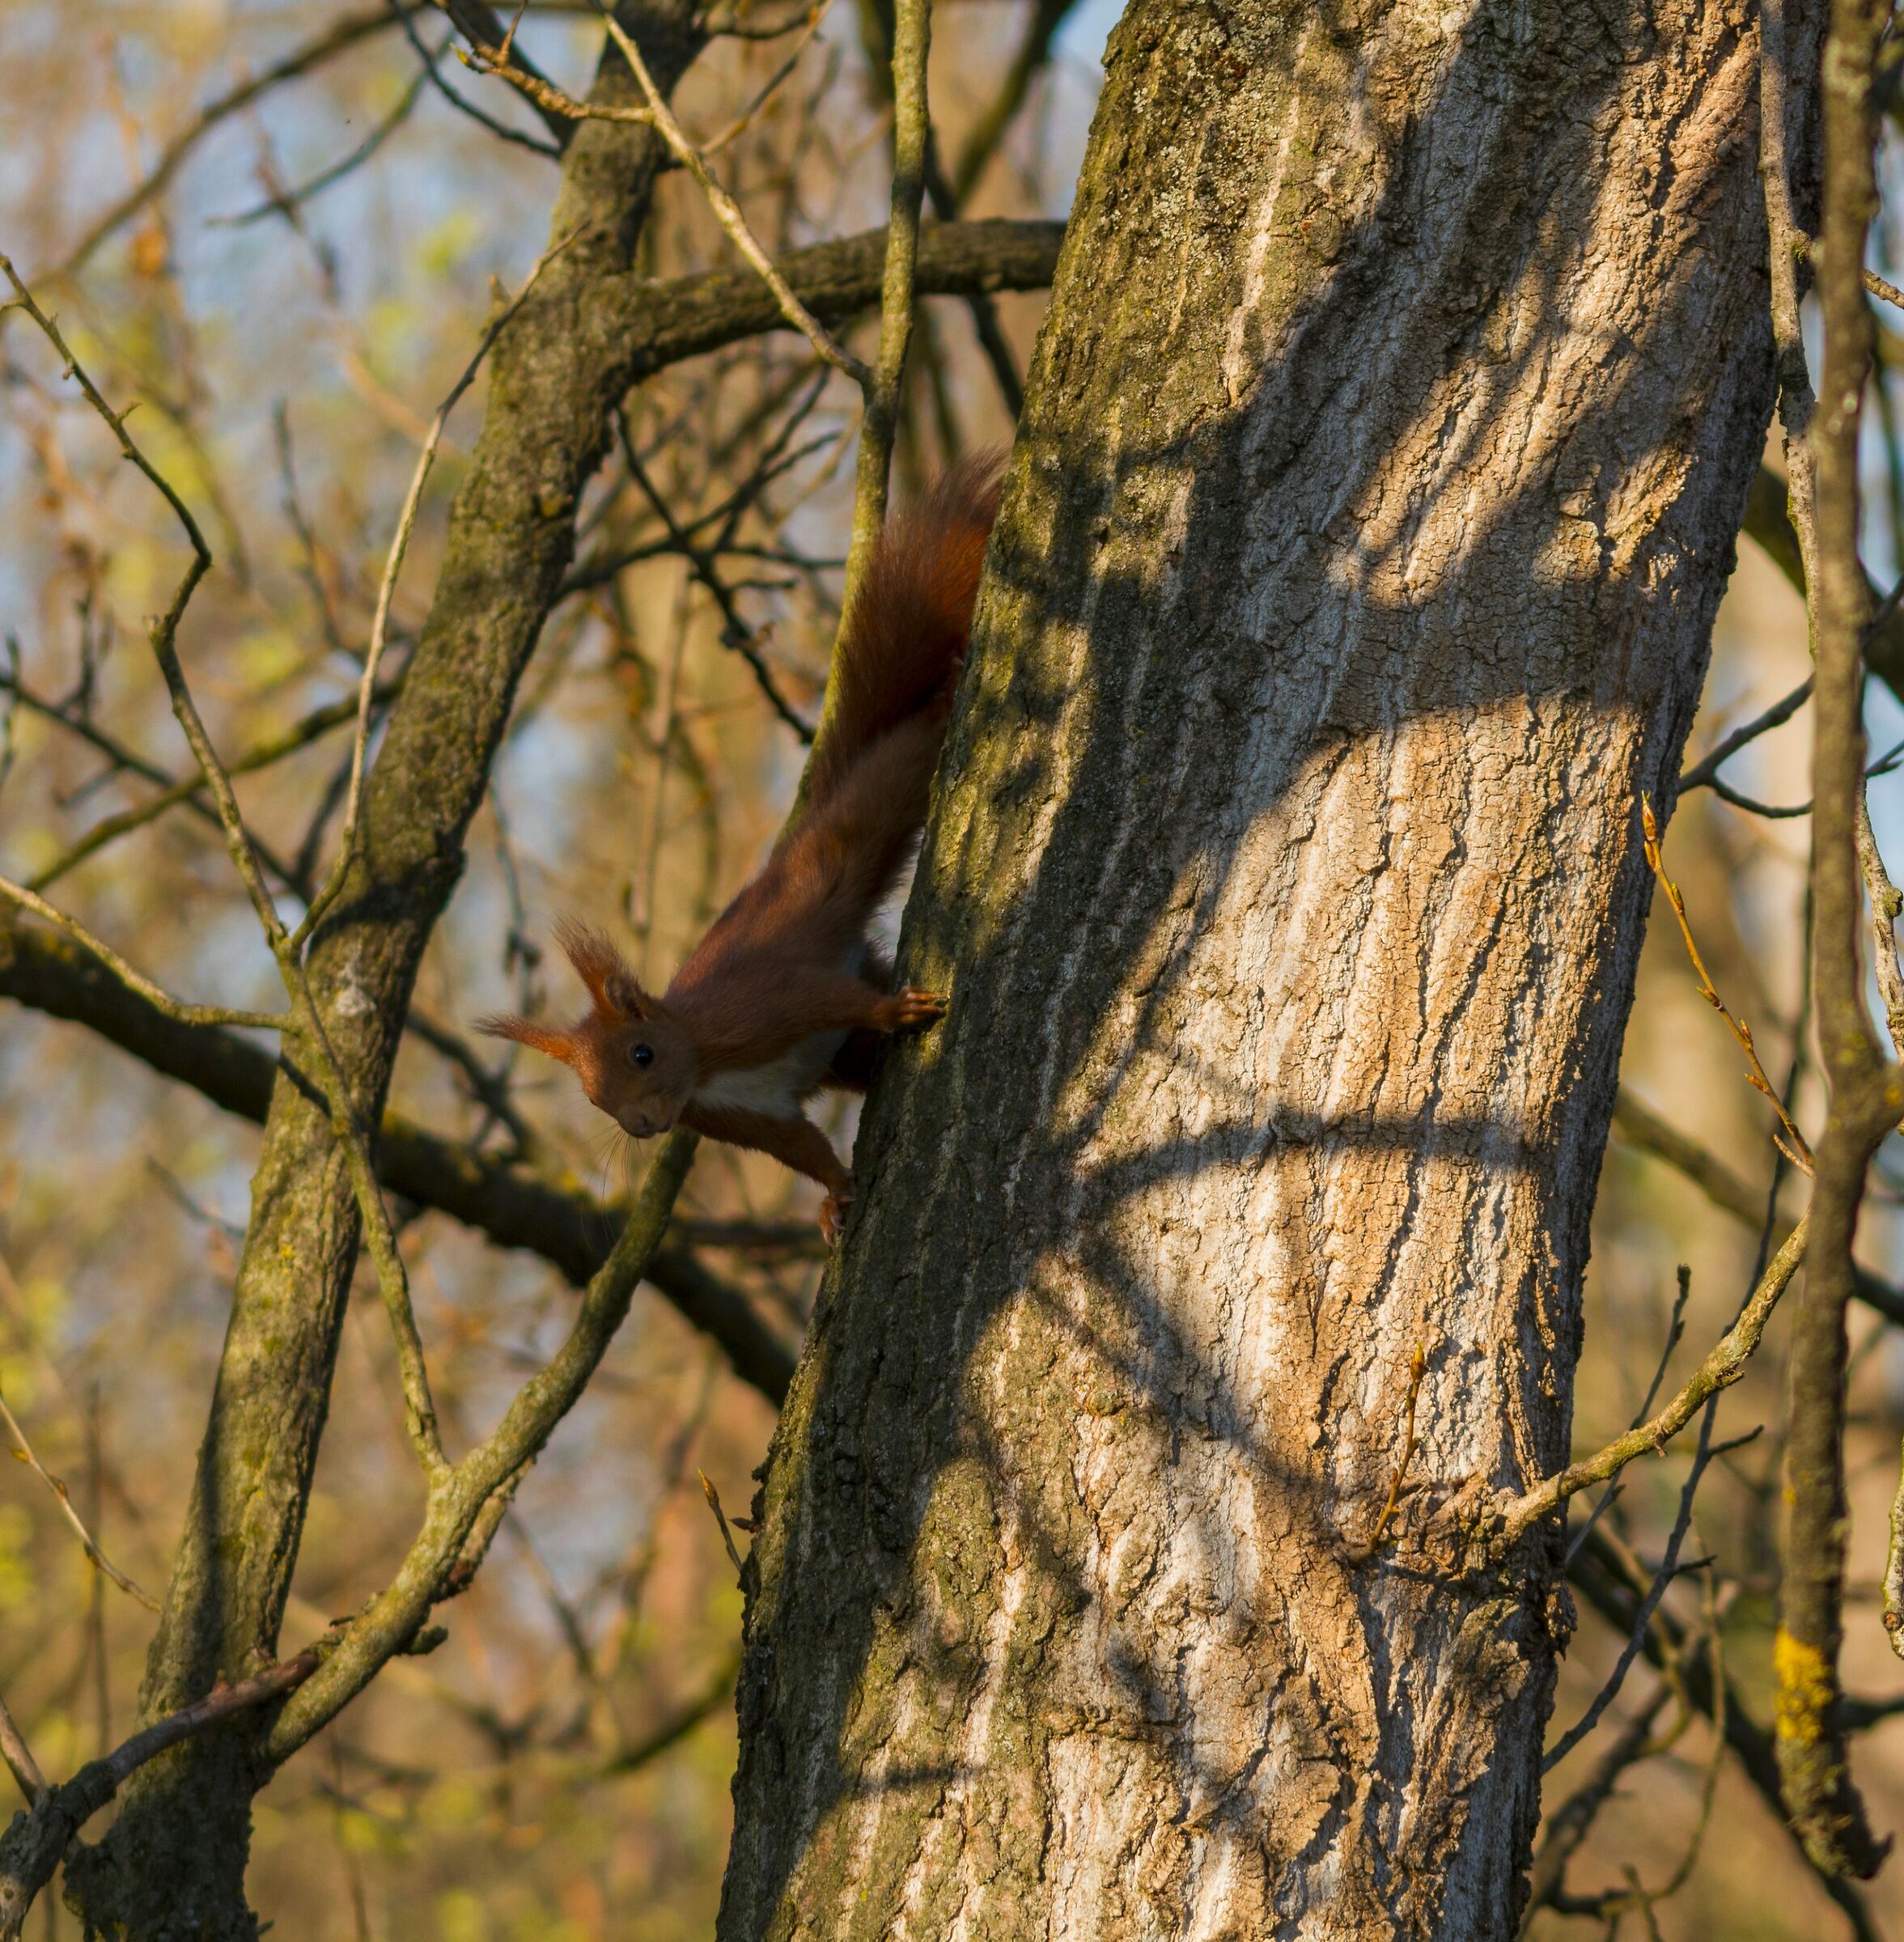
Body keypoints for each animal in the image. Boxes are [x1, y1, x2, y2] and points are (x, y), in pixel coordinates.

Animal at [479, 457, 1001, 1242]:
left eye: (642, 1053)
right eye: (592, 1097)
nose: (642, 1127)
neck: (703, 1063)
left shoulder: (765, 1005)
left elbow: (824, 995)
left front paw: (896, 1013)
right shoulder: (748, 1118)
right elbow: (803, 1147)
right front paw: (834, 1199)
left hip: (883, 791)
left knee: (910, 743)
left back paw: (948, 691)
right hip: (845, 1053)